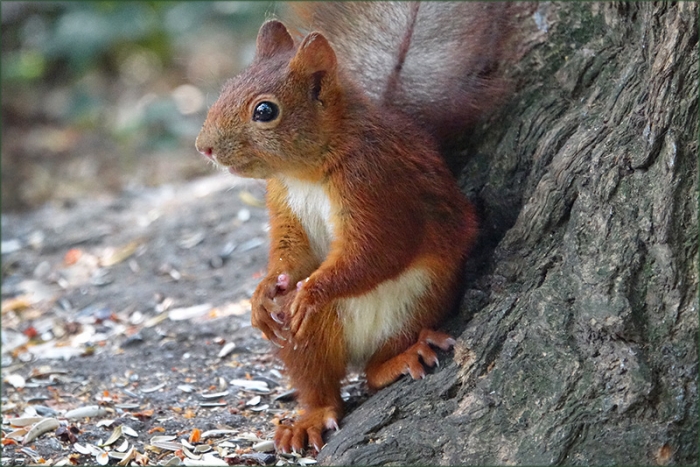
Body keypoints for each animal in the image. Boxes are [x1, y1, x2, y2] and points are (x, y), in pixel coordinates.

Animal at [195, 1, 514, 454]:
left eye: (265, 111)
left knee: (373, 370)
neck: (306, 172)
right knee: (321, 386)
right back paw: (310, 416)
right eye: (226, 88)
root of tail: (358, 348)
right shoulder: (283, 200)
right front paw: (264, 292)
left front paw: (312, 292)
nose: (203, 147)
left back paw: (399, 358)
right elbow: (292, 252)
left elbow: (378, 249)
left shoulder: (374, 184)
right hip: (307, 341)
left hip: (418, 303)